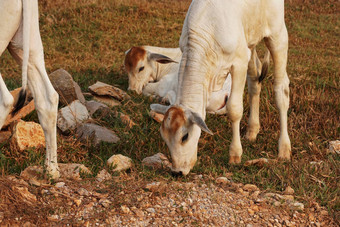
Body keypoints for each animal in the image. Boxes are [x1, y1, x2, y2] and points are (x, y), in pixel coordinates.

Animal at [152, 0, 292, 176]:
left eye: (184, 136)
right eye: (164, 137)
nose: (177, 172)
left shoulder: (239, 62)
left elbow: (234, 109)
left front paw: (235, 154)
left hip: (277, 35)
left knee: (281, 89)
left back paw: (284, 149)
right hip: (250, 42)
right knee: (254, 82)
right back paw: (252, 131)